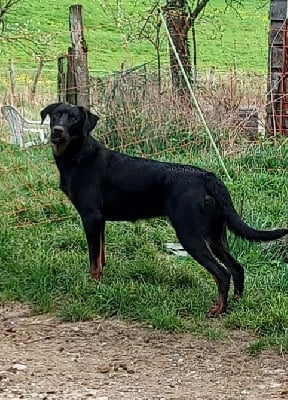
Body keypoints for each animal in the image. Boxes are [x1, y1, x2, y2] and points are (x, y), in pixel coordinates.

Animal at [41, 104, 288, 318]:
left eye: (74, 118)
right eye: (56, 115)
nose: (57, 130)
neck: (79, 155)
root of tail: (207, 177)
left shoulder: (91, 217)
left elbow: (94, 260)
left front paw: (93, 286)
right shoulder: (100, 221)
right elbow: (101, 256)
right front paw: (101, 282)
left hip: (190, 234)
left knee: (222, 273)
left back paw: (219, 310)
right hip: (215, 235)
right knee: (237, 268)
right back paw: (236, 303)